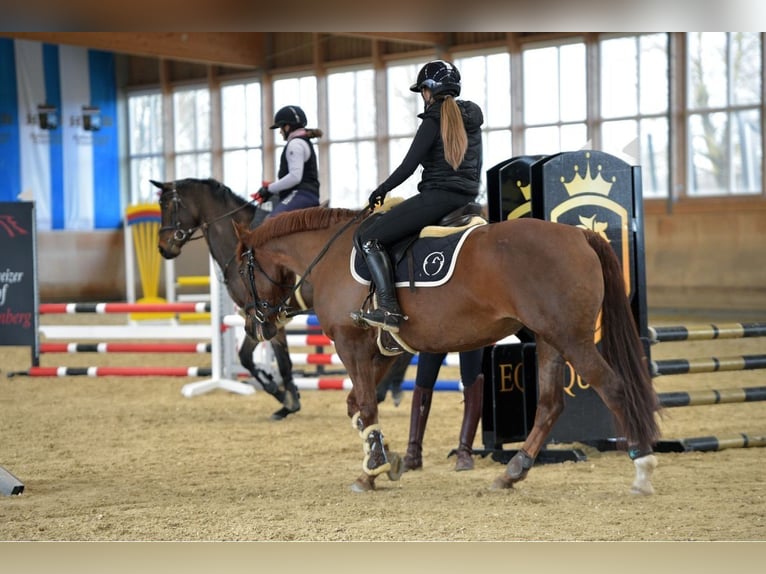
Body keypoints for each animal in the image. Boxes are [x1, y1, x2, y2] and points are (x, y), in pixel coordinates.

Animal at [152, 178, 303, 420]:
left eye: (167, 206)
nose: (163, 248)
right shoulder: (256, 314)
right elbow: (250, 357)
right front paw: (285, 396)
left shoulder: (266, 314)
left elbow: (276, 359)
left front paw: (285, 397)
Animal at [232, 206, 662, 494]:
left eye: (238, 273)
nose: (255, 326)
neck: (330, 256)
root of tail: (576, 235)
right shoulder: (379, 351)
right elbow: (358, 405)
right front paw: (385, 458)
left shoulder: (351, 344)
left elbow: (366, 405)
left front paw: (370, 473)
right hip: (550, 339)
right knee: (550, 404)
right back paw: (512, 472)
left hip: (572, 338)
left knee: (613, 388)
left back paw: (643, 469)